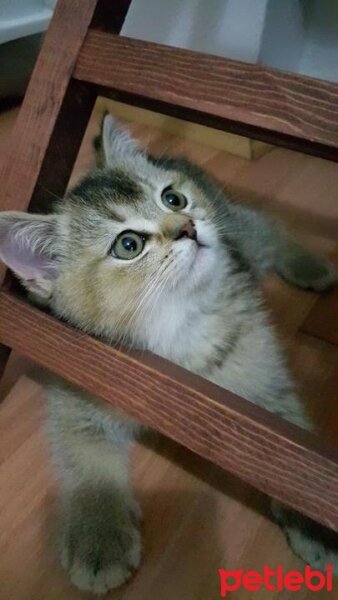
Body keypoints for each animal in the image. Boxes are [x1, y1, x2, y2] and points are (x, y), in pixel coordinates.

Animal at [0, 115, 338, 592]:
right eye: (127, 245)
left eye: (172, 198)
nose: (188, 226)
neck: (177, 328)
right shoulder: (76, 383)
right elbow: (87, 461)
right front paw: (98, 538)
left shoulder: (265, 379)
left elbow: (293, 458)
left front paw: (313, 522)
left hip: (238, 228)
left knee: (265, 227)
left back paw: (310, 265)